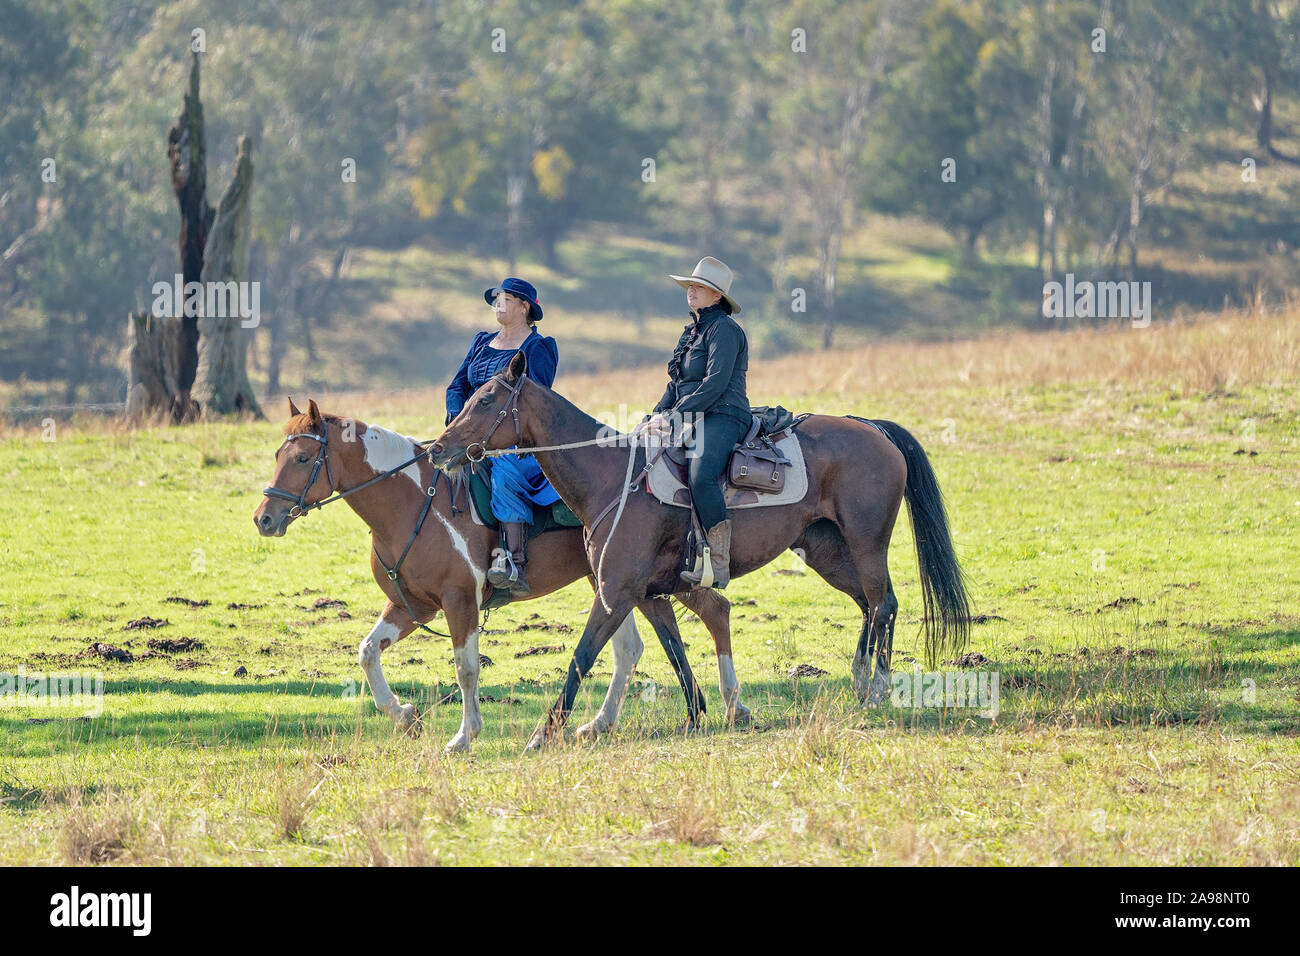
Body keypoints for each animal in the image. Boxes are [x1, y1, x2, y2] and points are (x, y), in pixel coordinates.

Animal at [253, 398, 743, 754]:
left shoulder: (458, 601)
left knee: (713, 610)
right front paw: (405, 716)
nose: (264, 518)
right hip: (617, 585)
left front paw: (464, 736)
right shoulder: (412, 606)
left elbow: (466, 668)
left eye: (302, 457)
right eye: (277, 454)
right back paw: (603, 724)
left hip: (648, 581)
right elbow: (368, 652)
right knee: (631, 648)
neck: (415, 501)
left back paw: (730, 706)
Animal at [431, 356, 972, 749]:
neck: (612, 476)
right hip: (828, 552)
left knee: (883, 603)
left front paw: (544, 735)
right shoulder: (647, 593)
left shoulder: (615, 591)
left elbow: (582, 657)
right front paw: (698, 716)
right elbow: (673, 647)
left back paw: (877, 687)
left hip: (865, 544)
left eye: (486, 400)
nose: (438, 449)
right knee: (870, 604)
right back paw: (861, 681)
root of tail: (872, 429)